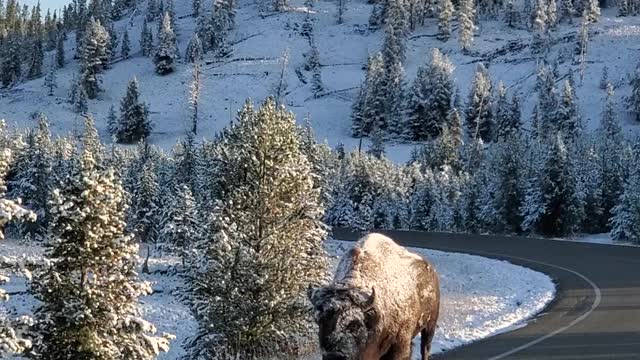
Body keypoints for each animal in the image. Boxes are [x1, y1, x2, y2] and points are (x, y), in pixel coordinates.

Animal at [308, 233, 440, 360]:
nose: (334, 356)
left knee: (425, 348)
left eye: (354, 324)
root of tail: (431, 270)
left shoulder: (399, 346)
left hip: (430, 325)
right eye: (319, 321)